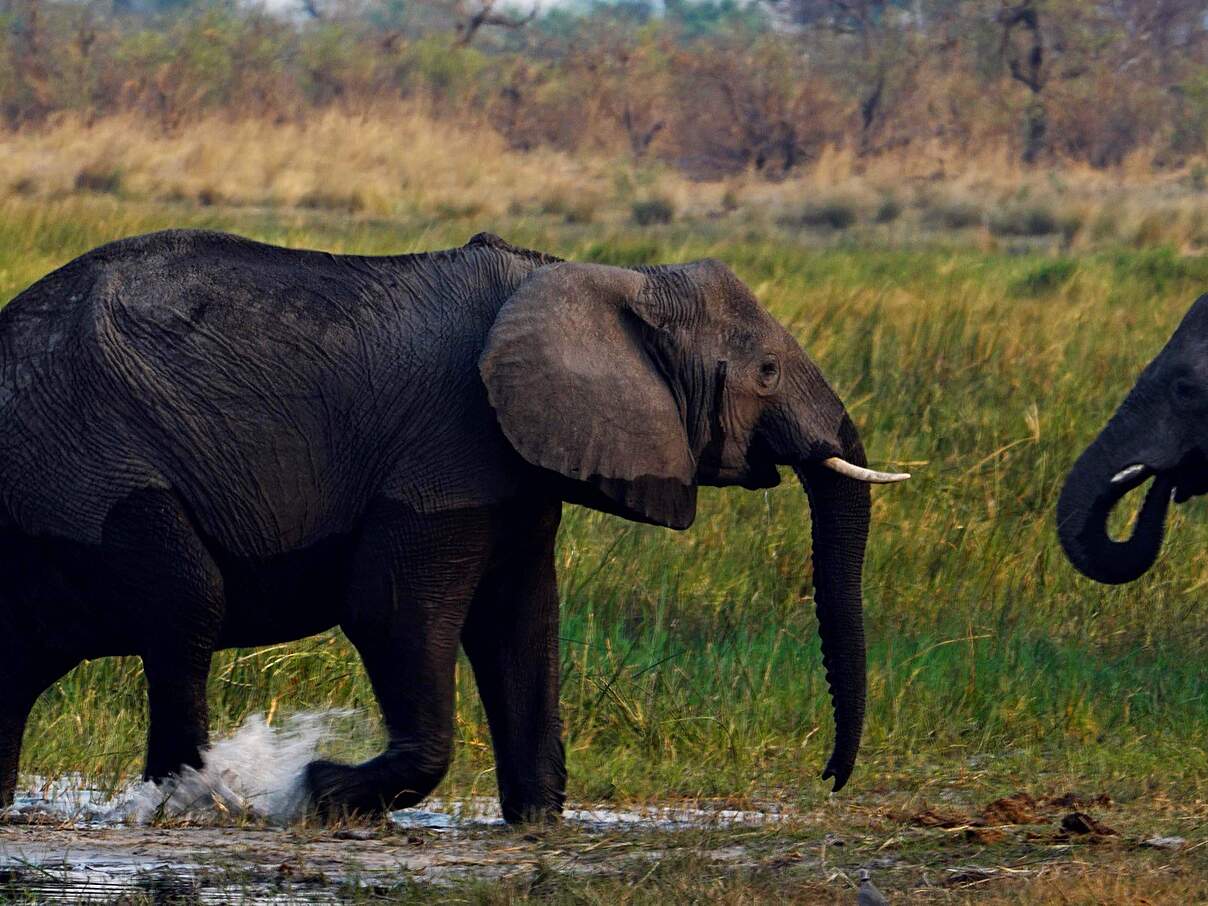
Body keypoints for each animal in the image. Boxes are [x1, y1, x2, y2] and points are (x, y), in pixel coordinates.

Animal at [0, 230, 908, 826]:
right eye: (766, 372)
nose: (829, 777)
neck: (595, 275)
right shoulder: (447, 446)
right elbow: (392, 608)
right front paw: (319, 791)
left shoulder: (520, 466)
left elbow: (521, 621)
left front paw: (538, 822)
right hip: (86, 461)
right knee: (189, 605)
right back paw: (190, 805)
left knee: (25, 659)